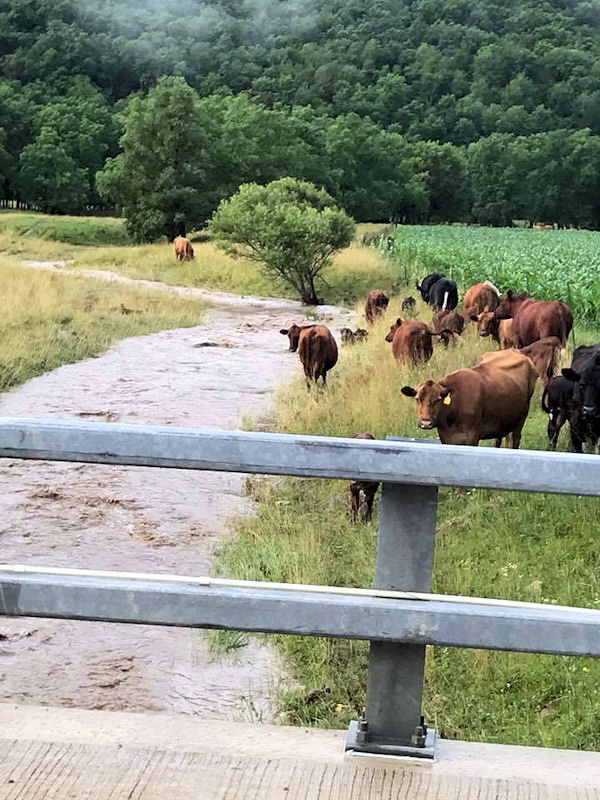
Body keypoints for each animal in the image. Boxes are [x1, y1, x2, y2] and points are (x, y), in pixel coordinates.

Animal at [400, 350, 536, 450]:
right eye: (417, 399)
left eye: (438, 399)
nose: (426, 422)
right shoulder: (447, 438)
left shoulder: (472, 437)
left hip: (521, 419)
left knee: (515, 439)